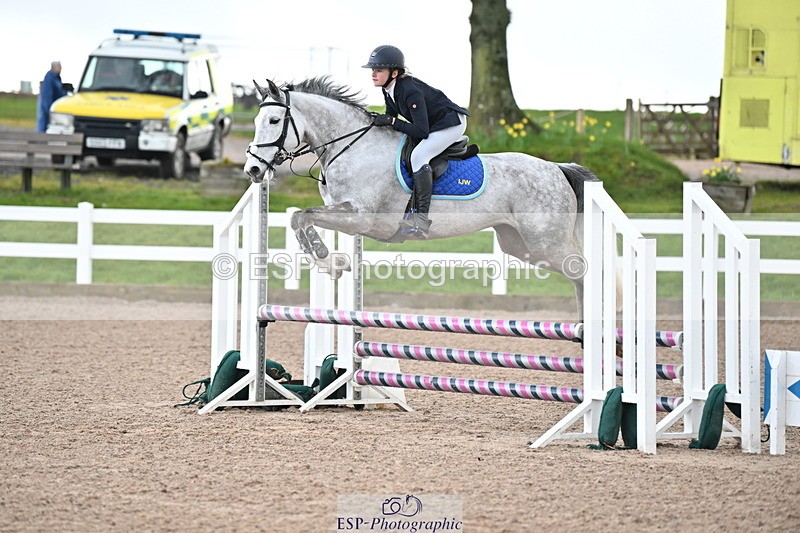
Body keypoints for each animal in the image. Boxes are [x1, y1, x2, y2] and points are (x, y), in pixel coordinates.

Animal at [244, 77, 601, 320]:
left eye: (274, 121)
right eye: (256, 121)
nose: (253, 169)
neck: (351, 145)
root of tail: (557, 168)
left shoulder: (360, 216)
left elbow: (301, 216)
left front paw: (330, 262)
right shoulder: (345, 214)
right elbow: (299, 219)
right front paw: (333, 263)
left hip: (546, 241)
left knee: (586, 273)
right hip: (520, 244)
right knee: (577, 276)